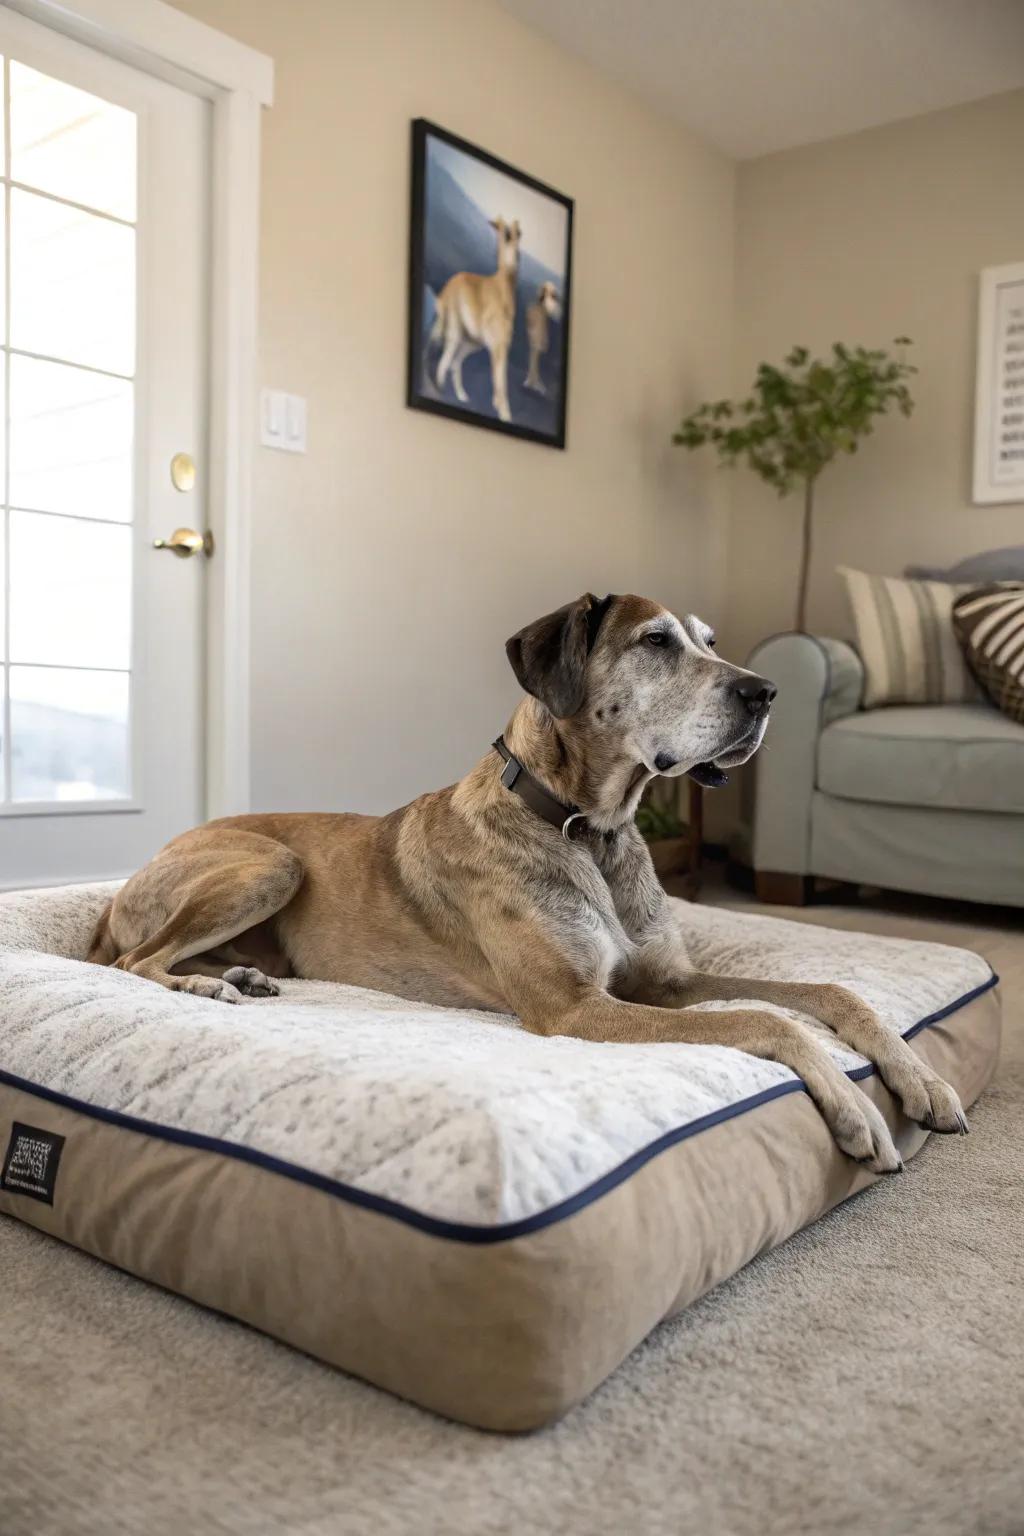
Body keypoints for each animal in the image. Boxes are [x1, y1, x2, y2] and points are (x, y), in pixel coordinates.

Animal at [90, 592, 970, 1167]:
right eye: (656, 642)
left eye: (709, 640)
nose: (766, 692)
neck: (590, 828)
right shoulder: (574, 1007)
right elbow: (767, 1021)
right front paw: (855, 1109)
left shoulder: (667, 983)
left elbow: (828, 992)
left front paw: (919, 1078)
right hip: (275, 861)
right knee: (136, 963)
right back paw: (206, 986)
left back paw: (238, 975)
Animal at [429, 213, 521, 423]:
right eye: (505, 234)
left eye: (519, 233)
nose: (516, 260)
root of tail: (445, 291)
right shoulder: (498, 344)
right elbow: (500, 378)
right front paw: (504, 413)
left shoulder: (501, 345)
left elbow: (499, 377)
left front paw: (500, 409)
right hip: (456, 331)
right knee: (446, 359)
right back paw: (441, 389)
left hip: (471, 342)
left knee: (454, 362)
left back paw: (462, 396)